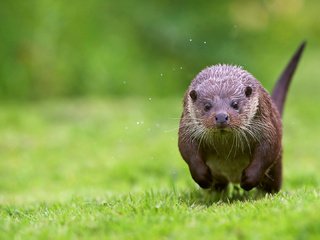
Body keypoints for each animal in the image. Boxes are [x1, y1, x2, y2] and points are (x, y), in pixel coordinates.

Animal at [179, 42, 306, 193]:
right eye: (207, 106)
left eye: (235, 104)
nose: (221, 117)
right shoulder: (187, 127)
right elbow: (187, 149)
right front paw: (203, 178)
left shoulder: (266, 127)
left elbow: (267, 150)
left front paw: (248, 180)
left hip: (278, 165)